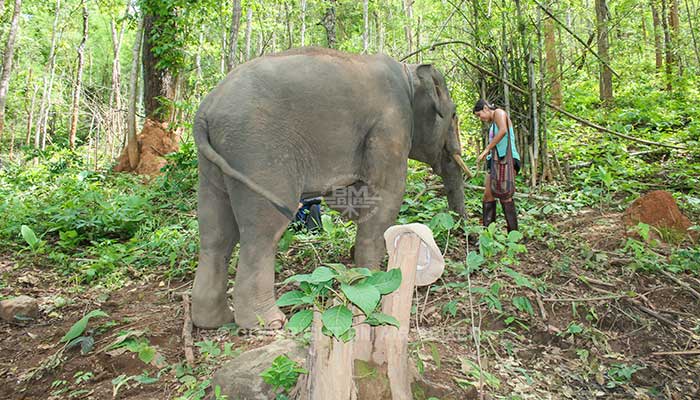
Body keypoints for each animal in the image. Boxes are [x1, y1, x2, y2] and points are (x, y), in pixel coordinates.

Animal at [190, 47, 470, 330]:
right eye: (454, 114)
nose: (465, 232)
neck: (408, 72)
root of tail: (206, 110)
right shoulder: (391, 125)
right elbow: (387, 194)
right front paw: (372, 276)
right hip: (257, 152)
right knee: (263, 232)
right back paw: (268, 322)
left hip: (216, 162)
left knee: (216, 233)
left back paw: (214, 320)